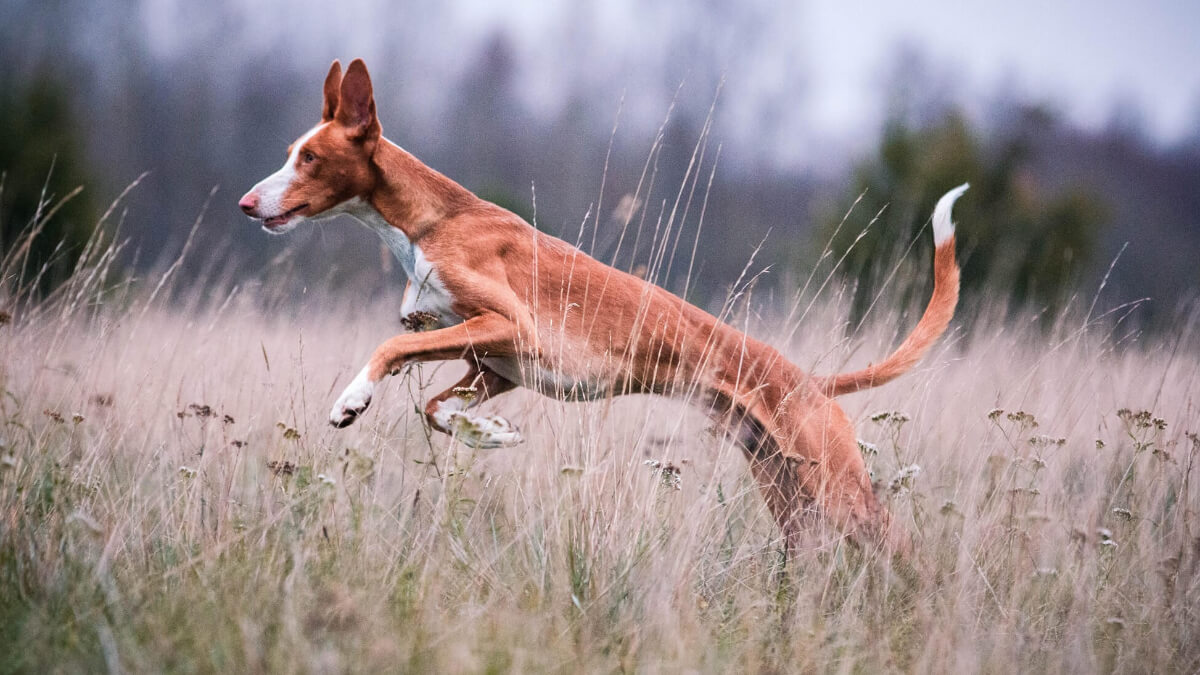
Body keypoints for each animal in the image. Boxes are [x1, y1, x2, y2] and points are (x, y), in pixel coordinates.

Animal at [236, 59, 964, 552]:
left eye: (309, 158)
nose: (245, 203)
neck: (434, 222)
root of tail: (809, 382)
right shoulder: (494, 364)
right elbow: (437, 406)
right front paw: (491, 434)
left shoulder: (510, 327)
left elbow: (392, 348)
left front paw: (351, 399)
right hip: (789, 492)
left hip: (839, 491)